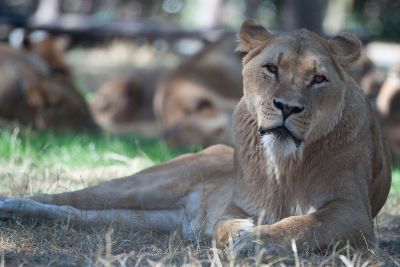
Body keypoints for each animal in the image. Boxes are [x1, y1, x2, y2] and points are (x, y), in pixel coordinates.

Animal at [0, 21, 390, 255]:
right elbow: (225, 225)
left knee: (73, 213)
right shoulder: (240, 203)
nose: (287, 107)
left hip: (144, 218)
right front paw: (240, 235)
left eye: (318, 78)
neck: (285, 164)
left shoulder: (354, 214)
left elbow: (302, 225)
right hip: (148, 185)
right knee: (67, 197)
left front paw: (254, 240)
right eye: (272, 69)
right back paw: (11, 205)